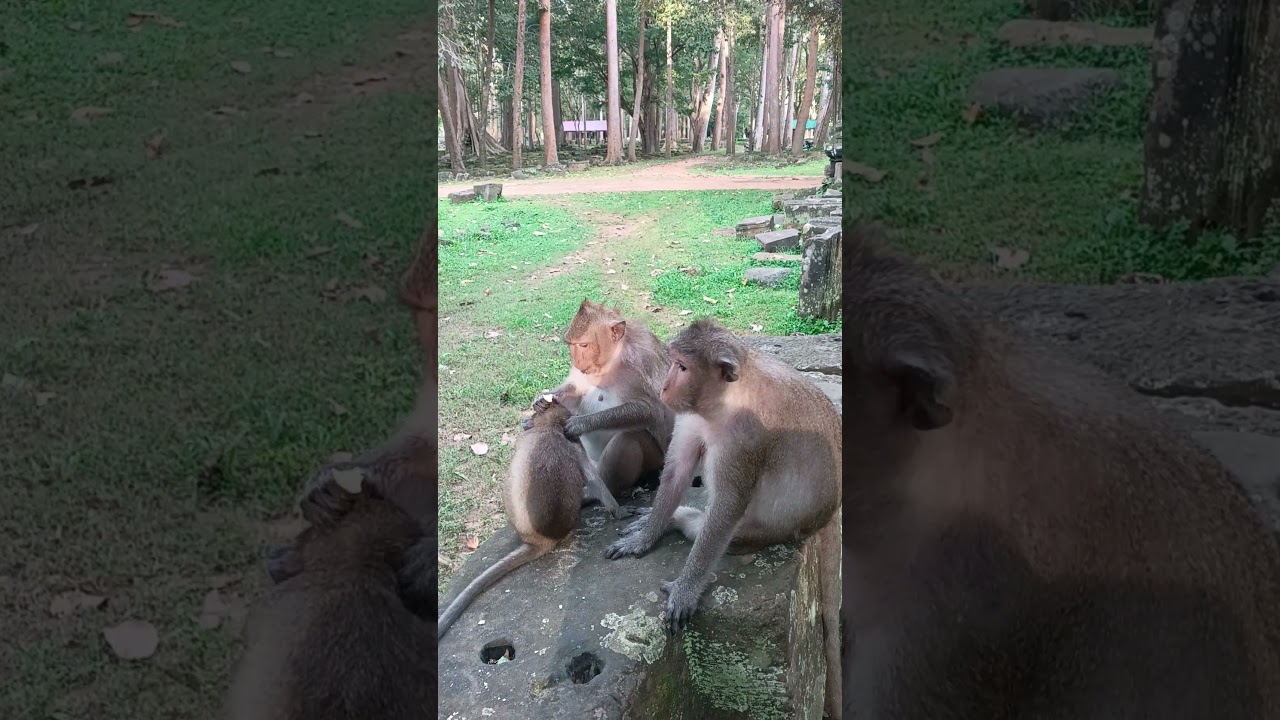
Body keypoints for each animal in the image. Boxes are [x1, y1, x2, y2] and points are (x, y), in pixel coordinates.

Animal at [437, 398, 625, 638]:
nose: (525, 421)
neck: (550, 427)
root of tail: (546, 539)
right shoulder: (573, 441)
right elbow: (594, 480)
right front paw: (619, 511)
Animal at [534, 299, 674, 499]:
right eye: (572, 344)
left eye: (584, 345)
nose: (577, 361)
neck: (612, 359)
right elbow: (577, 390)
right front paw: (544, 398)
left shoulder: (640, 362)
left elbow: (651, 411)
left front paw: (581, 423)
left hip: (655, 459)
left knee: (629, 438)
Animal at [603, 317, 843, 716]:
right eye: (672, 362)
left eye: (682, 367)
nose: (664, 386)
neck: (721, 403)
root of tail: (830, 509)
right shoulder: (688, 414)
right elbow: (676, 472)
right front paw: (647, 535)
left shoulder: (743, 440)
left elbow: (727, 507)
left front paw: (686, 588)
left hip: (776, 529)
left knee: (726, 530)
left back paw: (686, 523)